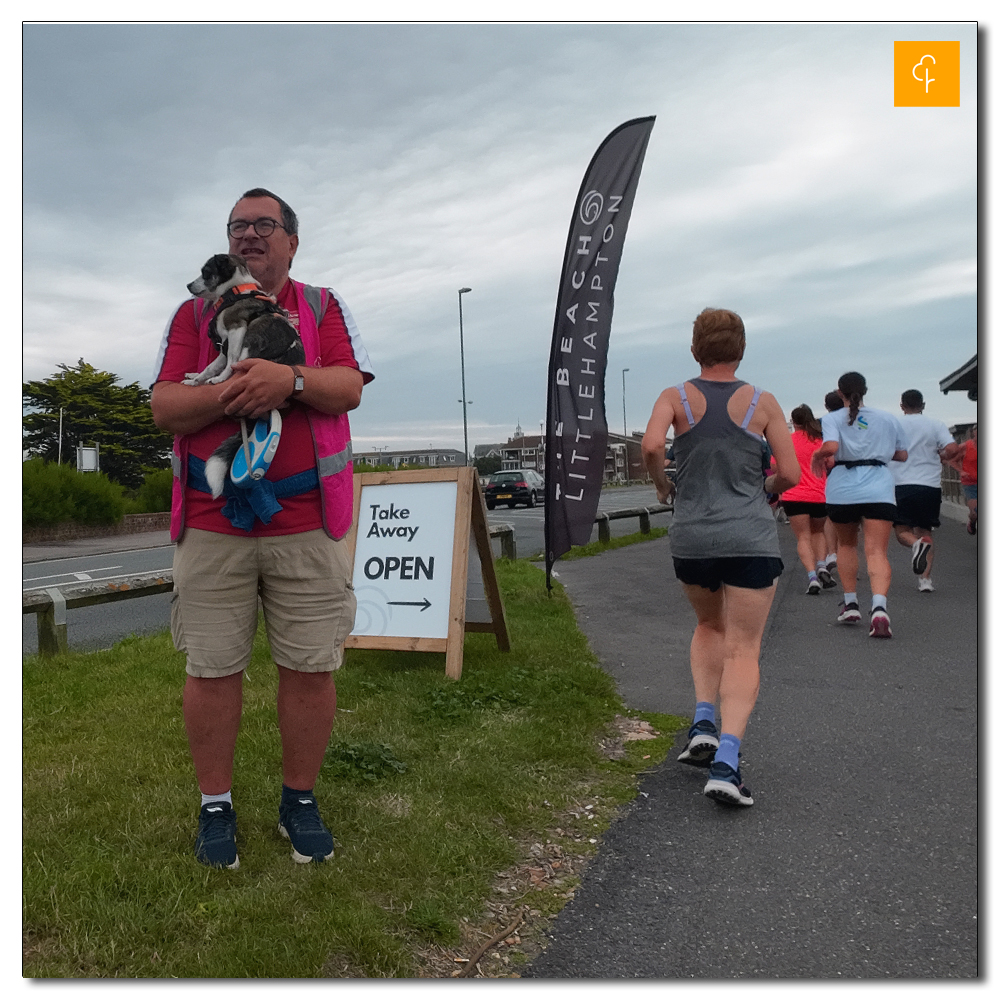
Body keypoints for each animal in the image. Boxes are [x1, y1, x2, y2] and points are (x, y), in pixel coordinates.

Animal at [182, 254, 302, 496]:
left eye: (206, 272)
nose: (188, 285)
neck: (235, 290)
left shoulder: (237, 331)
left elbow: (231, 362)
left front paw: (219, 379)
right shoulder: (224, 344)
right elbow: (211, 366)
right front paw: (195, 379)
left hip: (253, 334)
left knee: (241, 361)